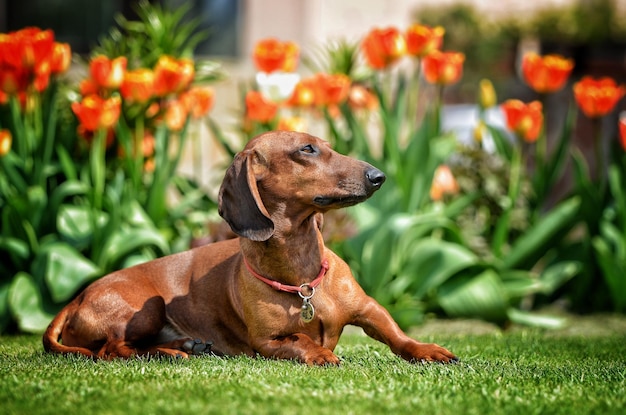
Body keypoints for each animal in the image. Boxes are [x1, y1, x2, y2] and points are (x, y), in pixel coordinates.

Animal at [42, 132, 454, 366]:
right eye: (307, 149)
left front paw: (427, 350)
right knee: (112, 350)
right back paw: (172, 353)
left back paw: (187, 344)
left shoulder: (369, 309)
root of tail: (76, 299)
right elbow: (299, 339)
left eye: (329, 147)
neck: (303, 279)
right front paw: (321, 353)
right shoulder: (266, 342)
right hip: (148, 307)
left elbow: (398, 335)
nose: (378, 176)